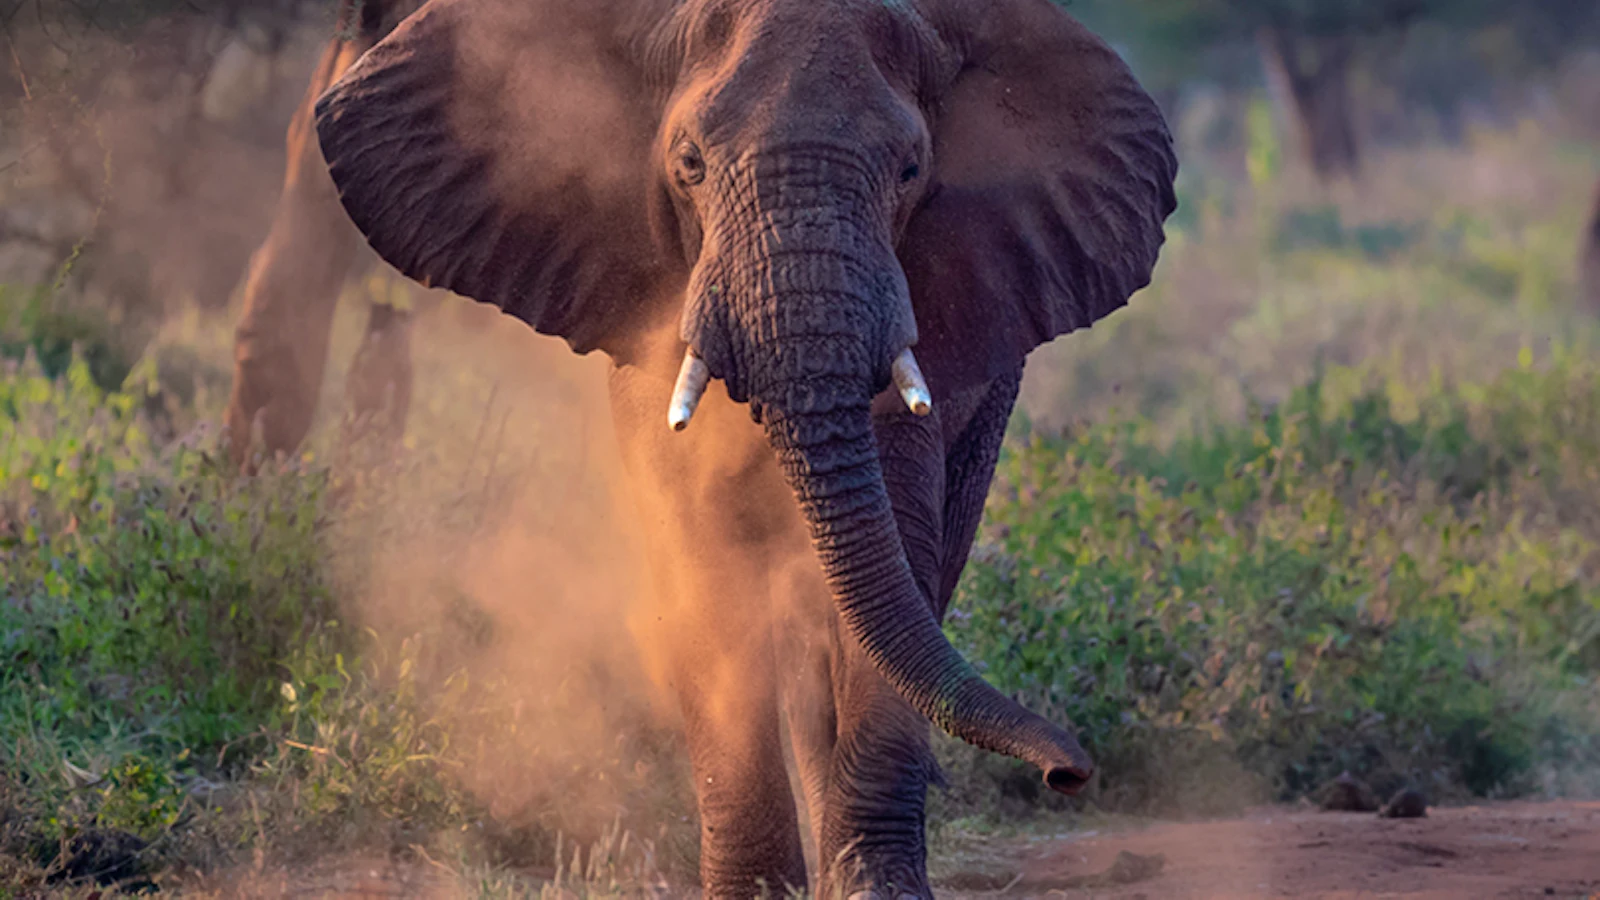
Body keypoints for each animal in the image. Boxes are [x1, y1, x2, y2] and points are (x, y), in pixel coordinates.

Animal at [312, 0, 1177, 897]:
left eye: (910, 170)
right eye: (689, 163)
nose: (1069, 772)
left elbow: (896, 548)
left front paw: (874, 889)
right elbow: (700, 568)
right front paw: (756, 892)